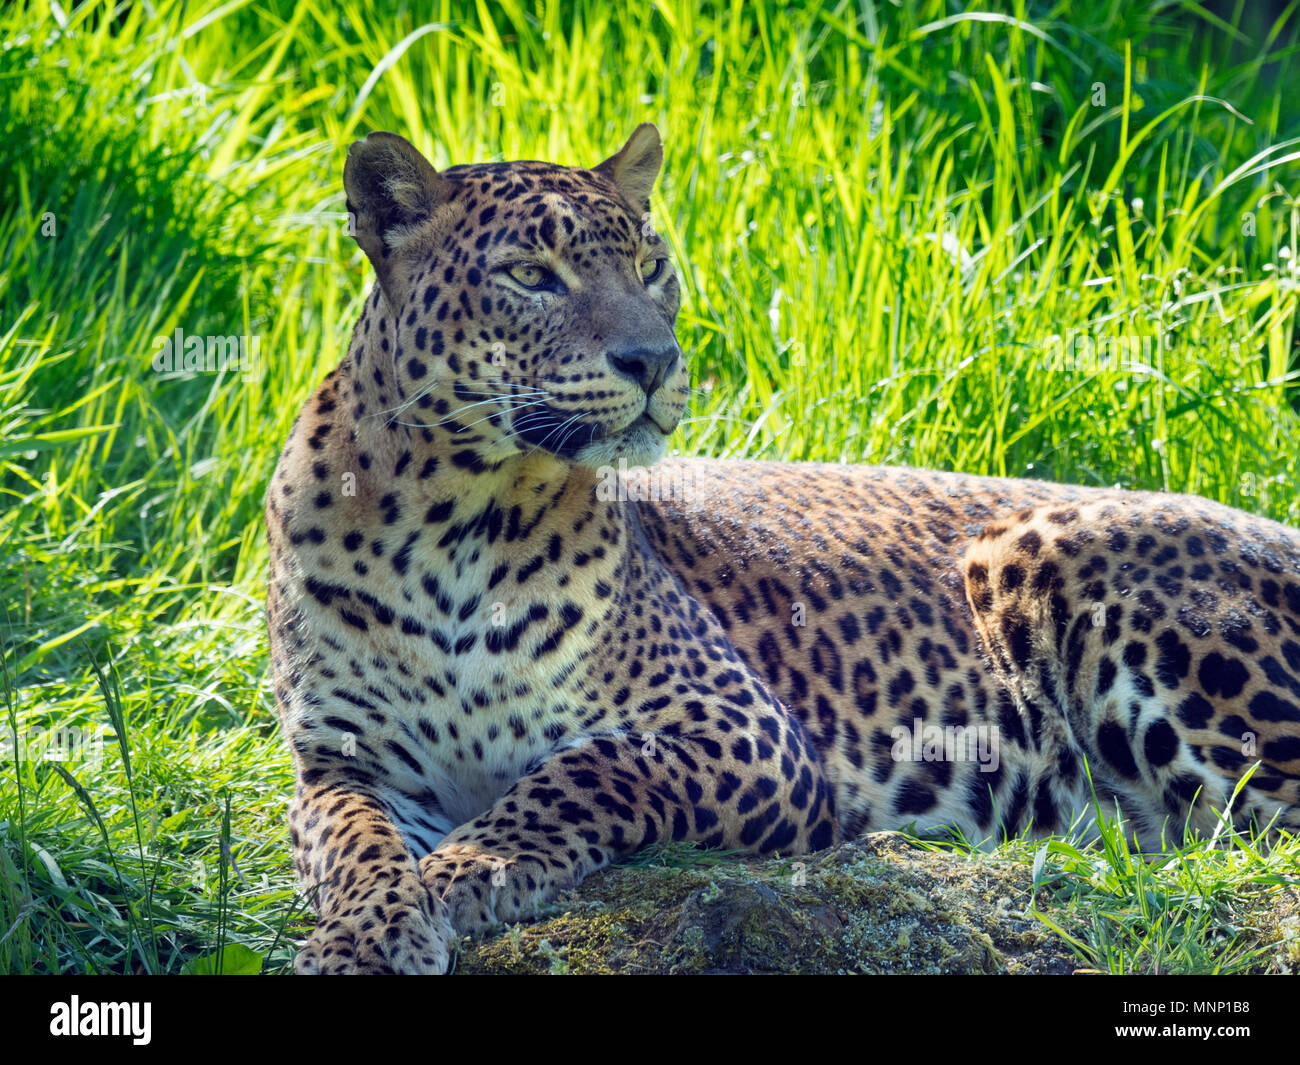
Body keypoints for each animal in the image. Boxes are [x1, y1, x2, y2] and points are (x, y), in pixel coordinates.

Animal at [265, 123, 1300, 974]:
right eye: (529, 274)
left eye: (651, 266)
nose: (654, 361)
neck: (454, 520)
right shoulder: (345, 761)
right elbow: (353, 843)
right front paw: (367, 933)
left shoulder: (742, 731)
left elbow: (577, 775)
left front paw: (462, 871)